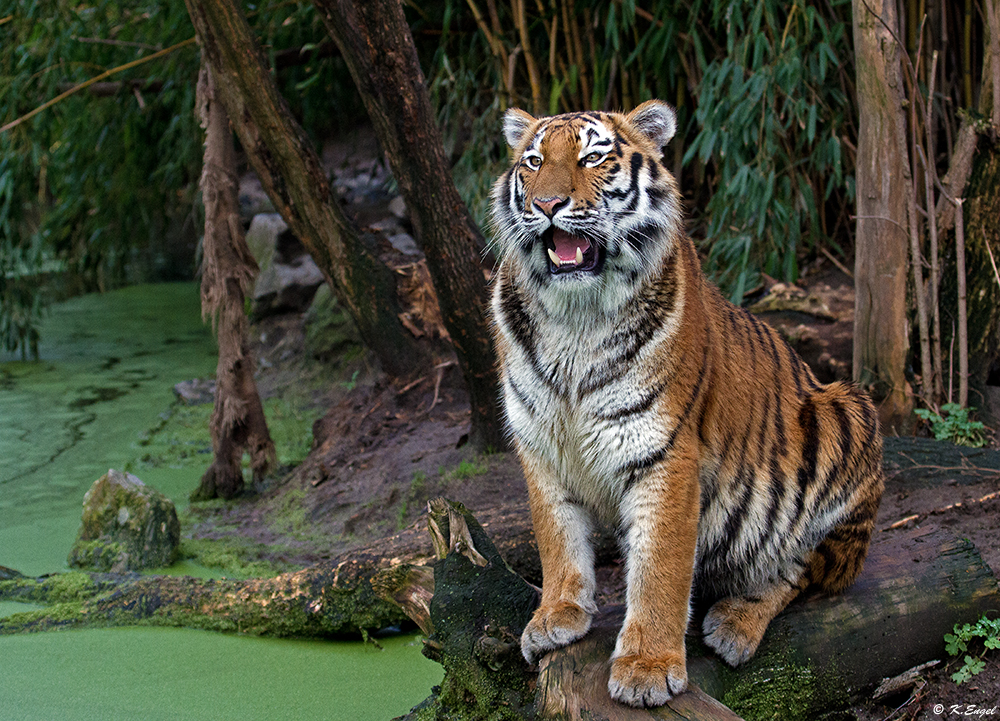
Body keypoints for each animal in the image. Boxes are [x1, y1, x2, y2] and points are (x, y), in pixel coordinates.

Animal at [486, 98, 884, 704]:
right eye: (533, 162)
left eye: (592, 157)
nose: (546, 204)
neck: (574, 320)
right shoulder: (540, 445)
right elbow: (556, 536)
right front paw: (557, 616)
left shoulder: (665, 450)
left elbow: (661, 567)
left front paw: (647, 668)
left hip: (848, 413)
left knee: (804, 567)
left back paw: (736, 623)